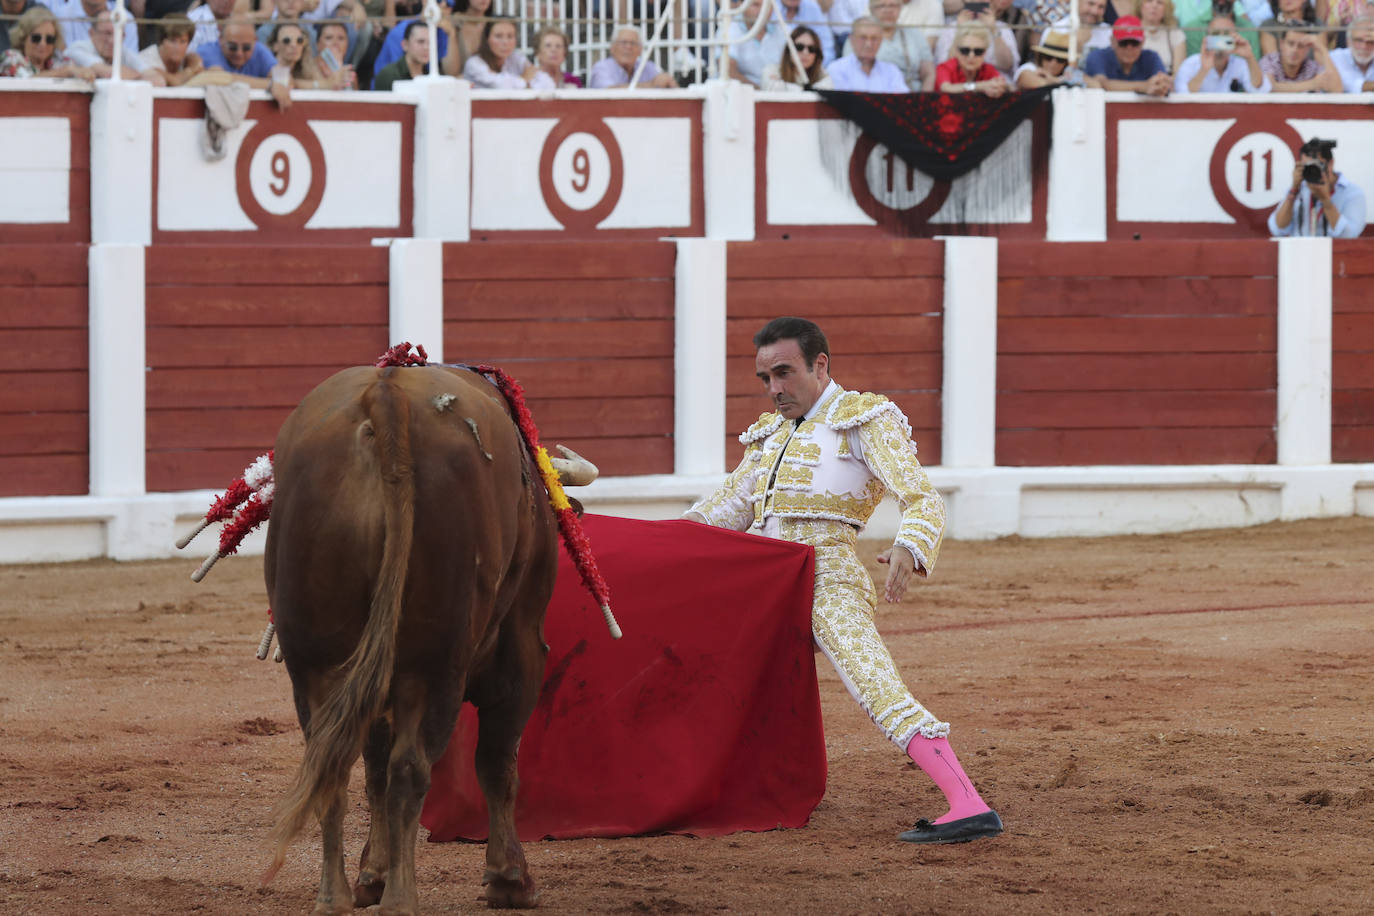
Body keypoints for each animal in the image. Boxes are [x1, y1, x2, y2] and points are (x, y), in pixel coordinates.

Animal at [259, 362, 599, 911]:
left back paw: (334, 896)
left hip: (315, 661)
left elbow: (373, 766)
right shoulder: (524, 644)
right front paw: (510, 878)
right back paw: (403, 899)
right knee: (412, 767)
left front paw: (371, 875)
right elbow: (497, 761)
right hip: (434, 663)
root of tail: (386, 397)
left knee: (333, 765)